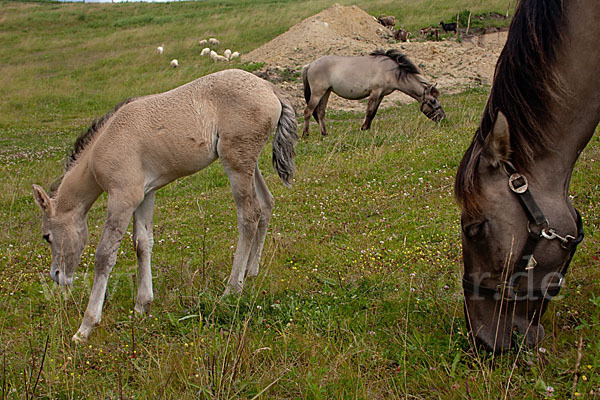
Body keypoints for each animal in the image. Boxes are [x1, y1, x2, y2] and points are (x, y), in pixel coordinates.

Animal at [31, 68, 298, 340]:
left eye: (46, 236)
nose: (56, 275)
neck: (105, 143)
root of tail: (268, 87)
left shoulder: (122, 197)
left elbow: (104, 255)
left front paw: (85, 327)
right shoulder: (144, 195)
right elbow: (142, 243)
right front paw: (142, 305)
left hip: (236, 161)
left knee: (249, 214)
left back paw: (232, 289)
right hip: (248, 163)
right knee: (266, 203)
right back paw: (251, 271)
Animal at [302, 49, 442, 138]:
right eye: (433, 101)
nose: (442, 118)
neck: (391, 71)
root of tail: (309, 65)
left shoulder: (381, 95)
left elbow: (373, 113)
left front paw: (367, 128)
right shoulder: (375, 92)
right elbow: (369, 111)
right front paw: (364, 128)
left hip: (326, 92)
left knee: (320, 112)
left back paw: (324, 133)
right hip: (317, 93)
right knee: (308, 111)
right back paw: (305, 134)